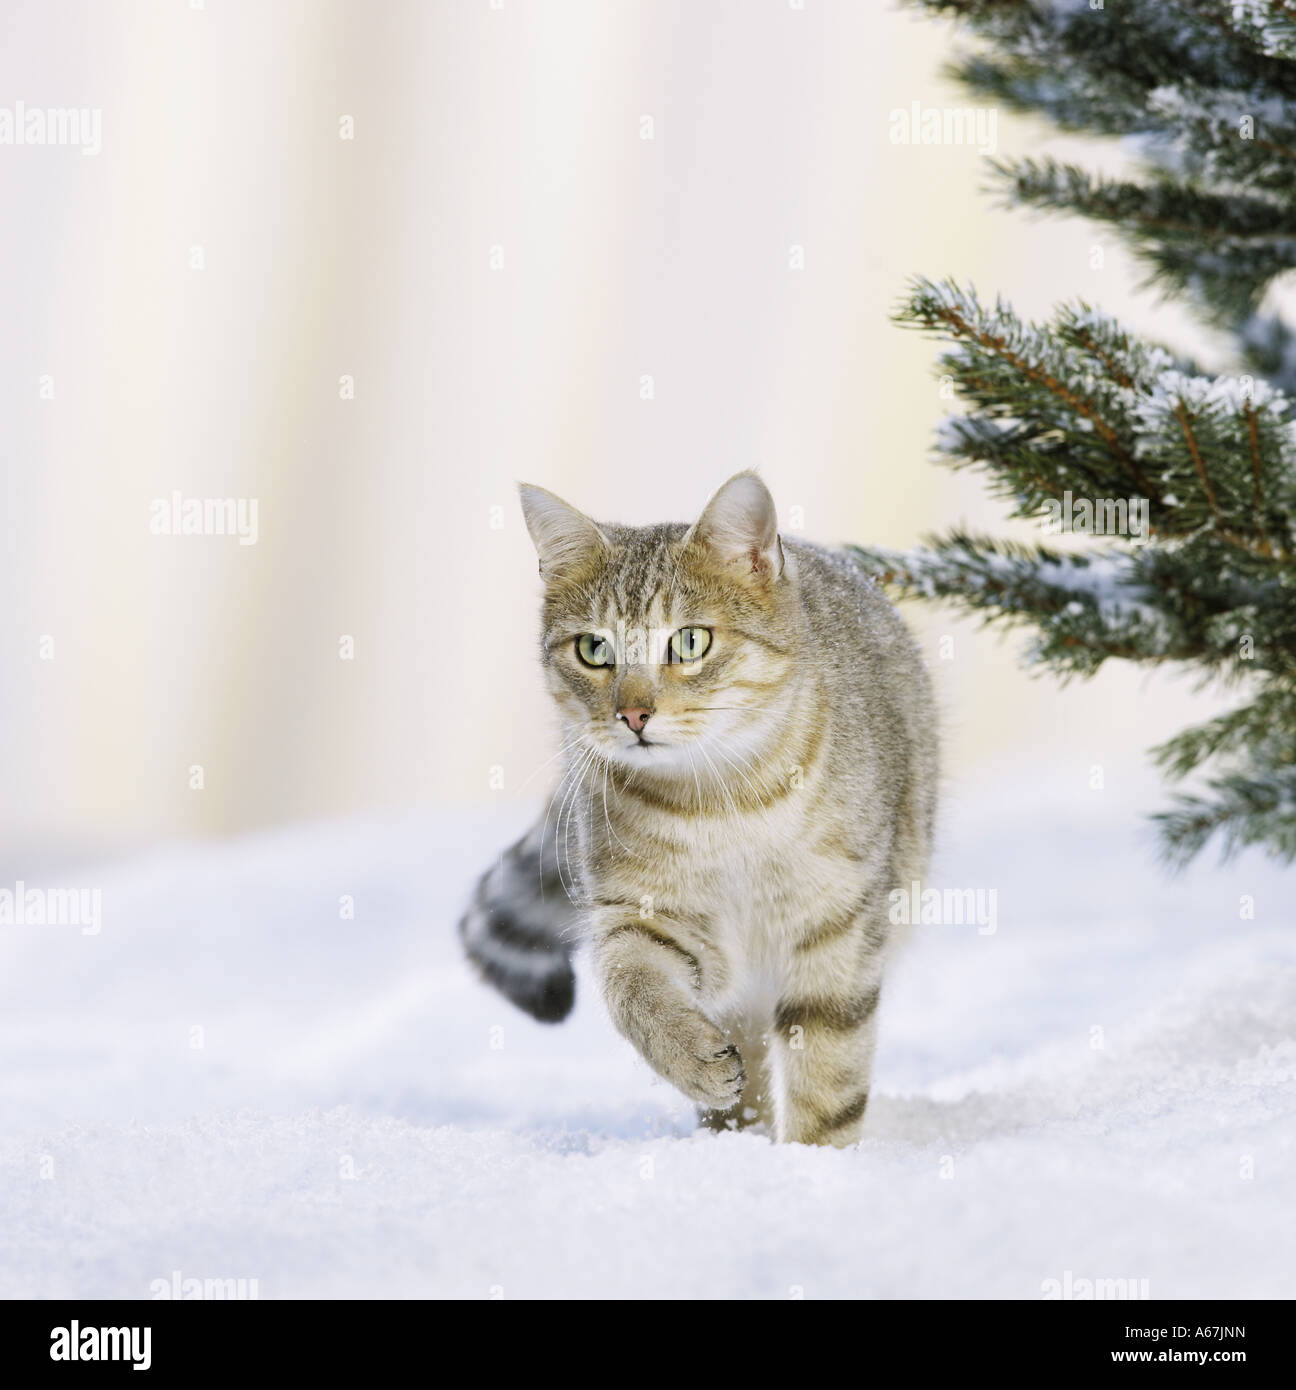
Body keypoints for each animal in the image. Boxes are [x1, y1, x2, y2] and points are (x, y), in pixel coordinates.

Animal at [461, 472, 934, 1145]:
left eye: (690, 641)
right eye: (593, 649)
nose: (633, 714)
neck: (721, 806)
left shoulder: (838, 921)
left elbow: (828, 1069)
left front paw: (815, 1160)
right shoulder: (642, 913)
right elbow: (633, 991)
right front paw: (692, 1059)